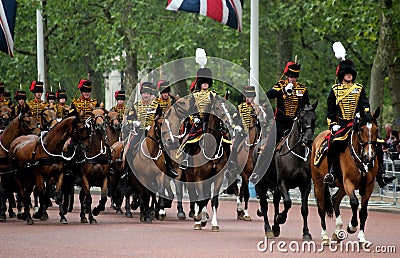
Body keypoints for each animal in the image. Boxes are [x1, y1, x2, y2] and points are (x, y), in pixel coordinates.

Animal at [256, 101, 318, 240]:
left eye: (314, 119)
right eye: (301, 118)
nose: (308, 140)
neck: (297, 155)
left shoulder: (305, 185)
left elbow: (304, 209)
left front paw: (306, 232)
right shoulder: (282, 183)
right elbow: (288, 202)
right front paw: (280, 218)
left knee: (275, 201)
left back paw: (275, 228)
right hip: (262, 184)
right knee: (264, 205)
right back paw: (268, 229)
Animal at [310, 107, 380, 246]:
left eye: (376, 130)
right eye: (361, 130)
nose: (369, 157)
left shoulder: (369, 186)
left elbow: (363, 211)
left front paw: (362, 237)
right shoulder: (349, 182)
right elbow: (354, 202)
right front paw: (352, 226)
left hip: (341, 186)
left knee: (335, 199)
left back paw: (337, 232)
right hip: (318, 182)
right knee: (321, 208)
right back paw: (325, 236)